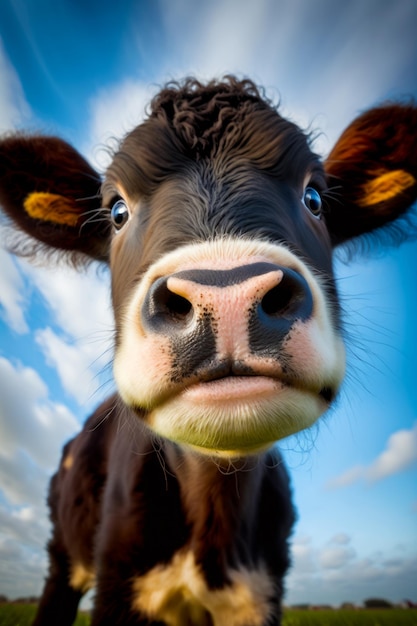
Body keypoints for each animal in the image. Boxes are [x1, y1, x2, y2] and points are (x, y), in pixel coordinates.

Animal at [0, 78, 414, 624]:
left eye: (314, 197)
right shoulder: (117, 581)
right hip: (64, 555)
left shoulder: (263, 591)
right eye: (117, 211)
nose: (225, 296)